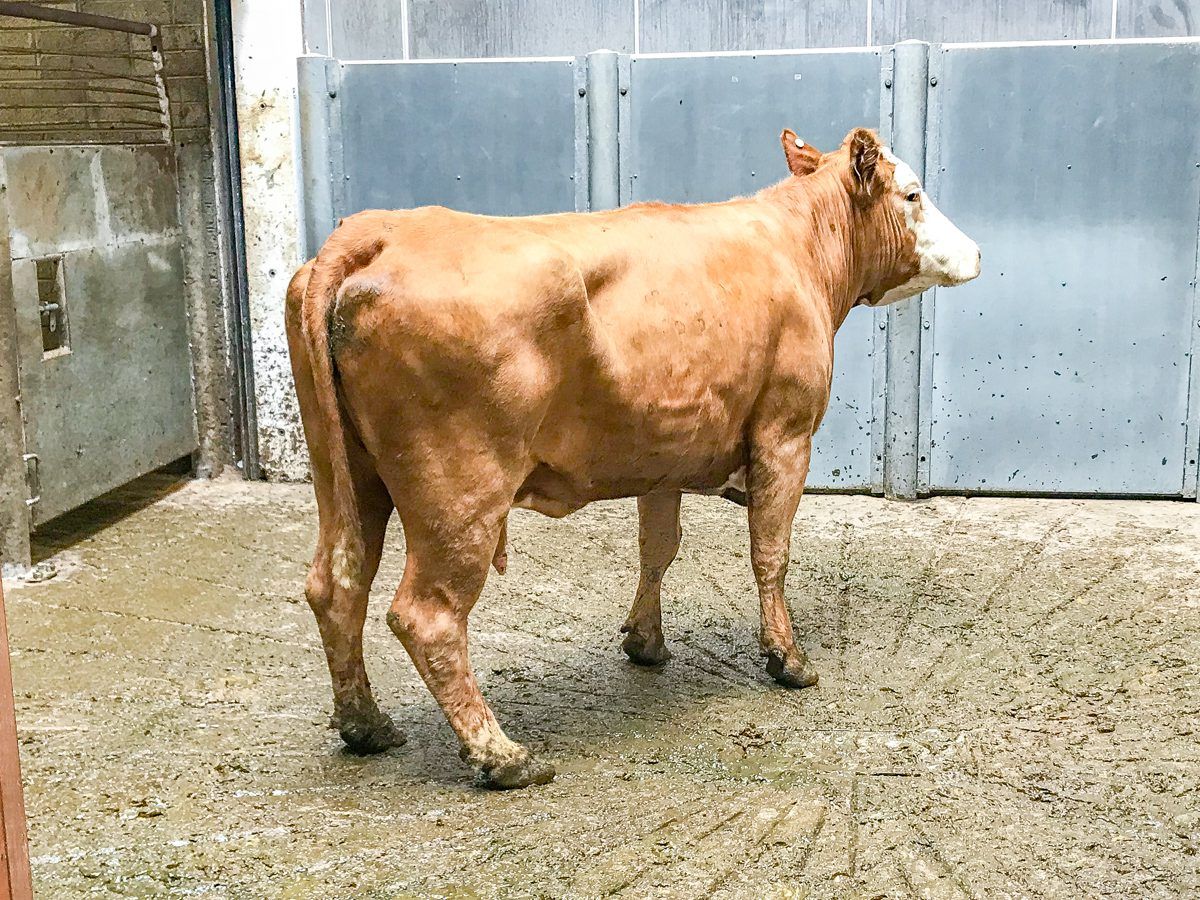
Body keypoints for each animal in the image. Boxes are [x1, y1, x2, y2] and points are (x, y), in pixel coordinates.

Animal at [285, 126, 980, 789]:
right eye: (912, 193)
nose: (976, 251)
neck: (796, 249)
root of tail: (379, 230)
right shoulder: (786, 433)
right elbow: (771, 552)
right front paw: (788, 658)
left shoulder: (664, 449)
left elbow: (659, 548)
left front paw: (646, 641)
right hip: (458, 491)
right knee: (425, 614)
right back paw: (501, 756)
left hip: (349, 475)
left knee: (336, 582)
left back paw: (366, 724)